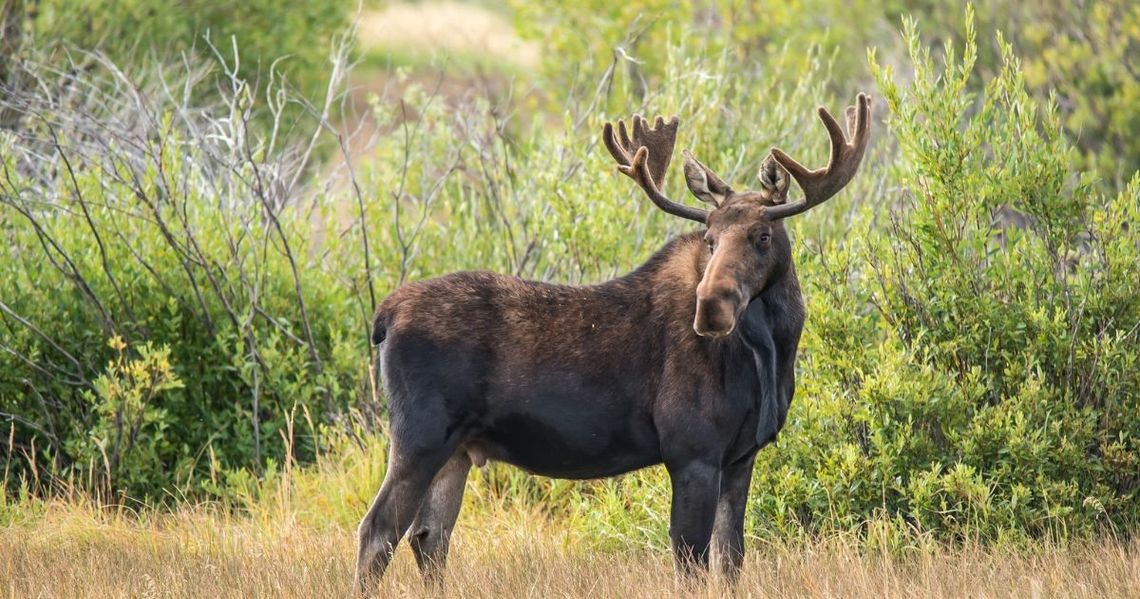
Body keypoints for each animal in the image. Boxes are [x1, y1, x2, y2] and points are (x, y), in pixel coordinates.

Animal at [355, 92, 870, 588]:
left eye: (762, 235)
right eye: (709, 238)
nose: (710, 307)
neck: (771, 351)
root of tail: (384, 316)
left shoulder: (741, 458)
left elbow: (731, 562)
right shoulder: (692, 453)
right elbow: (691, 562)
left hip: (457, 449)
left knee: (428, 535)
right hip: (419, 436)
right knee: (378, 530)